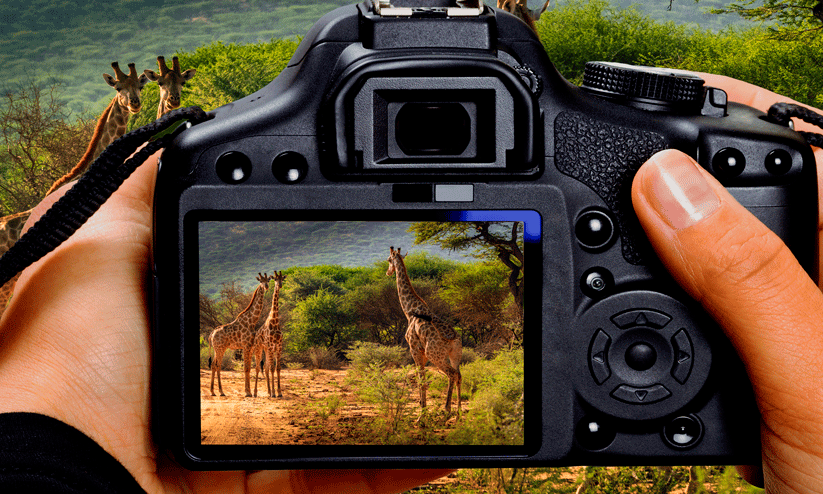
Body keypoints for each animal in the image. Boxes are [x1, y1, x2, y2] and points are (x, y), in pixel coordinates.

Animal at [253, 270, 288, 398]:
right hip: (259, 348)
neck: (275, 321)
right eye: (275, 279)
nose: (280, 285)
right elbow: (273, 368)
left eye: (282, 279)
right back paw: (255, 392)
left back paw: (268, 391)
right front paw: (274, 393)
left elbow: (277, 368)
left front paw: (279, 392)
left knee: (266, 367)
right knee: (258, 367)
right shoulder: (271, 346)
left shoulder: (279, 346)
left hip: (266, 349)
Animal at [388, 246, 464, 412]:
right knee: (459, 375)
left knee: (451, 374)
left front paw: (422, 412)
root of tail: (454, 339)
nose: (388, 272)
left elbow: (421, 379)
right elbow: (421, 379)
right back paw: (459, 413)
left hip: (435, 355)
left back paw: (447, 410)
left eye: (388, 260)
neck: (409, 310)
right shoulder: (421, 352)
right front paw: (421, 407)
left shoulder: (415, 349)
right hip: (455, 355)